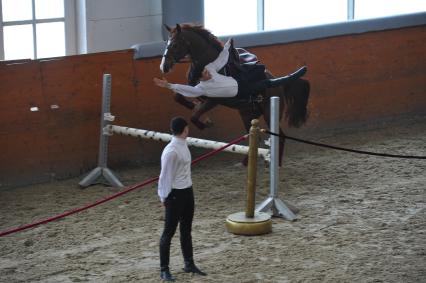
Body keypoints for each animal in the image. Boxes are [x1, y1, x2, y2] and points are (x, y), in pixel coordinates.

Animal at [160, 24, 310, 165]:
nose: (164, 67)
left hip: (269, 113)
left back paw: (276, 163)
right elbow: (178, 97)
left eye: (175, 44)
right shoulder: (194, 88)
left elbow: (194, 116)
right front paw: (193, 106)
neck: (210, 65)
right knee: (254, 136)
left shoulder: (213, 100)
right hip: (247, 114)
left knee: (280, 136)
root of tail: (278, 84)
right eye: (167, 43)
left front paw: (205, 123)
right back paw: (245, 162)